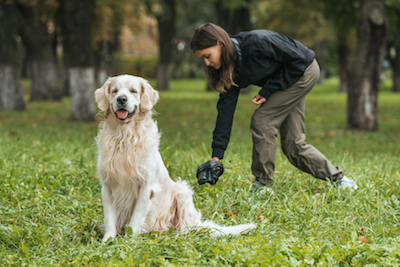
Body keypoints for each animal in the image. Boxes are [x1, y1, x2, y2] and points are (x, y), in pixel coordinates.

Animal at [95, 74, 255, 242]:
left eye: (133, 91)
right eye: (115, 91)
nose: (121, 99)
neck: (124, 137)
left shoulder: (146, 187)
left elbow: (135, 219)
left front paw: (127, 241)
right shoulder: (107, 186)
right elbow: (110, 219)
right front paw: (107, 241)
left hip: (182, 191)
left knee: (185, 229)